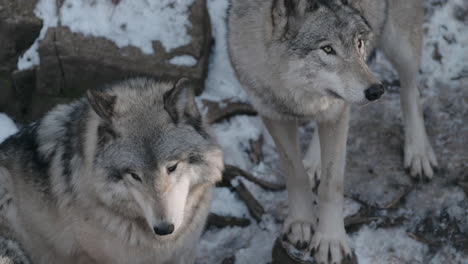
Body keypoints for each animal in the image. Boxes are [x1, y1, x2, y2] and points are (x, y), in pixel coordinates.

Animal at [229, 0, 436, 262]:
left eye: (358, 43)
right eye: (327, 49)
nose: (376, 90)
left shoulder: (337, 111)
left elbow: (331, 185)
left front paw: (330, 241)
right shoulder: (273, 114)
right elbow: (295, 174)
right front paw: (301, 222)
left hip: (400, 45)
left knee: (411, 90)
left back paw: (418, 153)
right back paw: (313, 163)